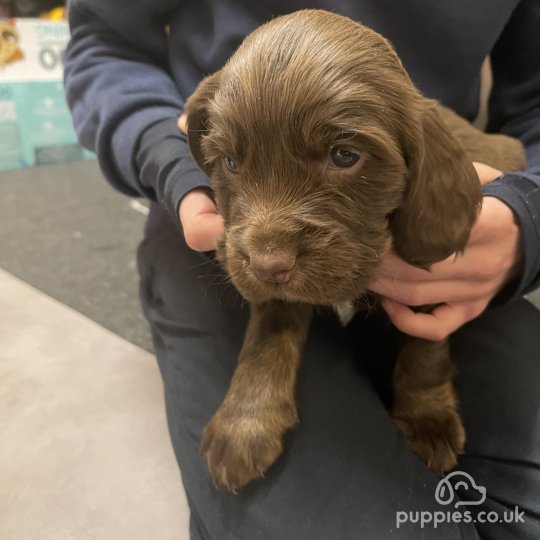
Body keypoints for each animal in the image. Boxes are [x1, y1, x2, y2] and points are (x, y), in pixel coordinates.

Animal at [184, 8, 524, 492]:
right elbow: (266, 334)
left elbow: (426, 350)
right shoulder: (260, 269)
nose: (270, 266)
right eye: (230, 163)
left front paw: (427, 418)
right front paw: (245, 423)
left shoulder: (435, 280)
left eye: (344, 156)